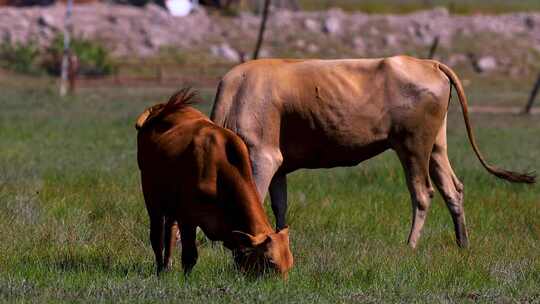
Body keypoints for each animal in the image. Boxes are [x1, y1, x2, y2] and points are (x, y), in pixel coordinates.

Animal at [137, 88, 294, 278]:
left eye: (290, 263)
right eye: (270, 262)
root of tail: (163, 108)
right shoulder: (188, 217)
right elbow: (190, 256)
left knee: (170, 233)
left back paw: (167, 266)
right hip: (152, 197)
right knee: (157, 235)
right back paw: (160, 269)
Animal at [209, 55, 532, 248]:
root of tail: (429, 62)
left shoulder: (263, 155)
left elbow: (257, 198)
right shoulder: (280, 164)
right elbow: (279, 206)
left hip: (412, 145)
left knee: (423, 192)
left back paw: (410, 246)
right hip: (436, 146)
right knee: (453, 188)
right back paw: (462, 244)